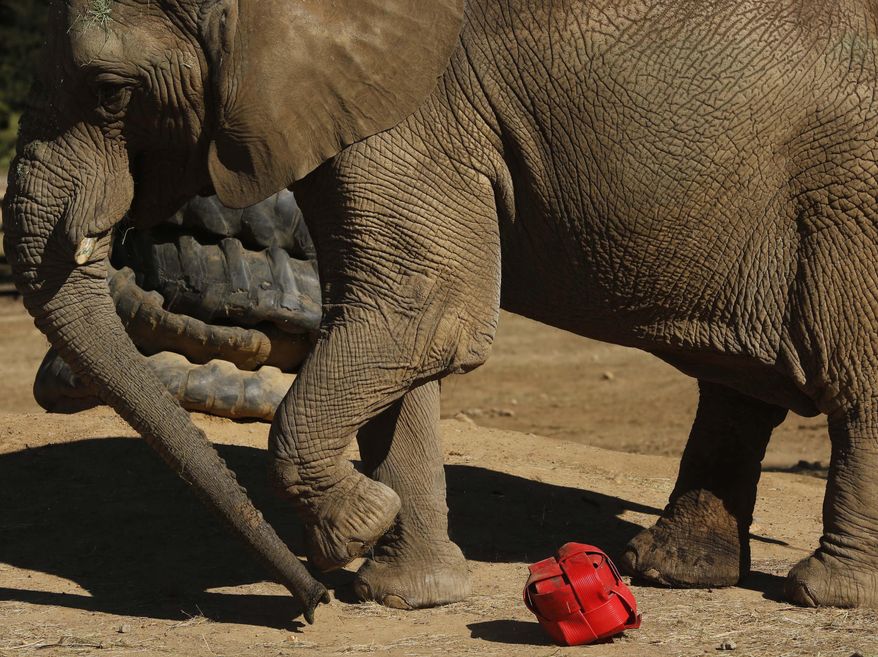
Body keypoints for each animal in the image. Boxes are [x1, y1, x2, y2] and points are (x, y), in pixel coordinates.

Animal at [6, 0, 878, 620]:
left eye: (110, 92)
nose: (311, 607)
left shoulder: (417, 114)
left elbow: (423, 309)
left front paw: (353, 527)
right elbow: (393, 318)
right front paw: (400, 590)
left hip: (850, 197)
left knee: (855, 384)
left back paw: (822, 593)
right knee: (740, 386)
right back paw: (666, 569)